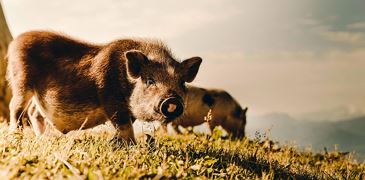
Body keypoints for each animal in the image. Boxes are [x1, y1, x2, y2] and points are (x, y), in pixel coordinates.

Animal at [6, 31, 202, 143]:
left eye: (181, 82)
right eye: (149, 80)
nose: (172, 99)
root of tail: (14, 43)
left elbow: (126, 125)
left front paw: (116, 143)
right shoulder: (110, 98)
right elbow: (124, 125)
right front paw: (131, 146)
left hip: (36, 93)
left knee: (34, 112)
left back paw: (44, 139)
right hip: (21, 80)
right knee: (15, 107)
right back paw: (17, 136)